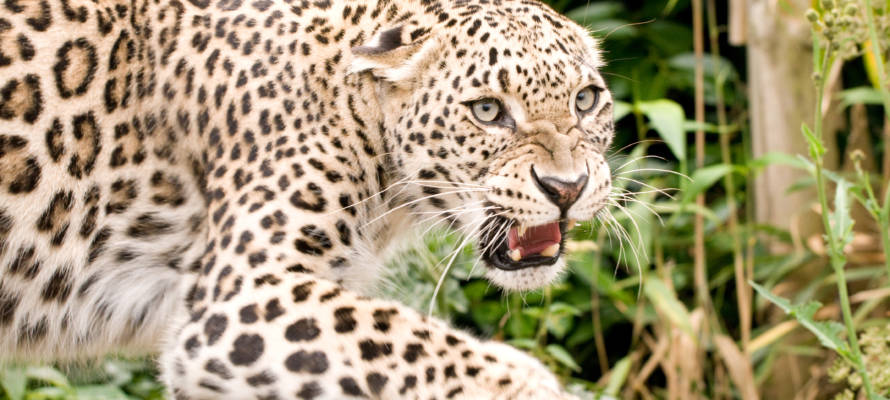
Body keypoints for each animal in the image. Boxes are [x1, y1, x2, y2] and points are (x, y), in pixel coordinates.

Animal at [0, 0, 615, 398]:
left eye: (586, 101)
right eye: (487, 110)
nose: (567, 188)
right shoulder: (237, 297)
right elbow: (409, 341)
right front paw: (530, 386)